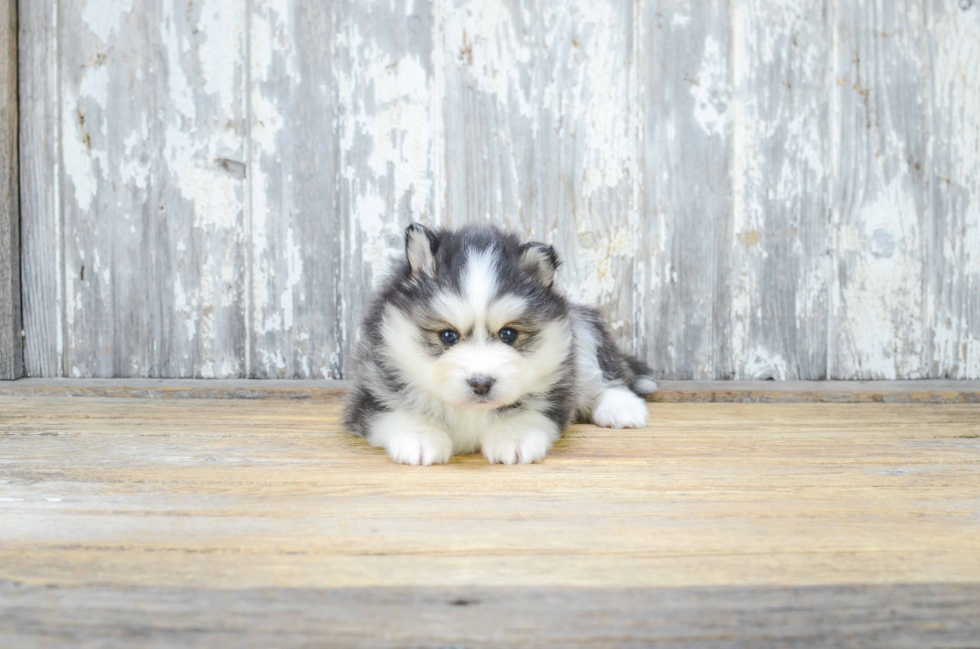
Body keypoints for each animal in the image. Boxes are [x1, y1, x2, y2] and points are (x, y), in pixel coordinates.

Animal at [344, 224, 660, 466]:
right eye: (448, 336)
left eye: (508, 334)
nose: (481, 383)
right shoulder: (372, 389)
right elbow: (396, 411)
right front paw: (421, 436)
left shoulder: (556, 387)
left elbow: (529, 410)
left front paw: (514, 436)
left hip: (581, 328)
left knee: (607, 376)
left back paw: (621, 407)